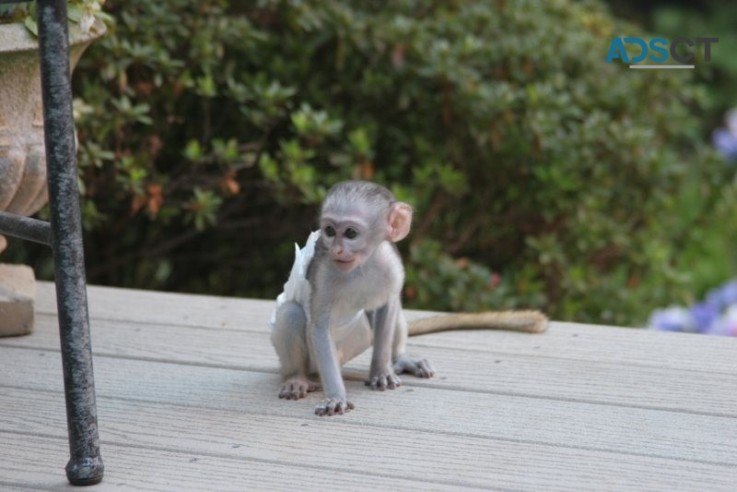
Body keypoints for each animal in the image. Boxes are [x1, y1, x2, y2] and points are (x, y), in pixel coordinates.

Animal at [270, 181, 548, 416]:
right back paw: (296, 378)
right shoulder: (325, 272)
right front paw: (336, 396)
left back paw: (400, 359)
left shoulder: (390, 264)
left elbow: (388, 306)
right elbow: (319, 326)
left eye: (350, 233)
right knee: (291, 314)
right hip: (318, 359)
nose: (337, 250)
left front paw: (381, 370)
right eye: (329, 231)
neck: (361, 266)